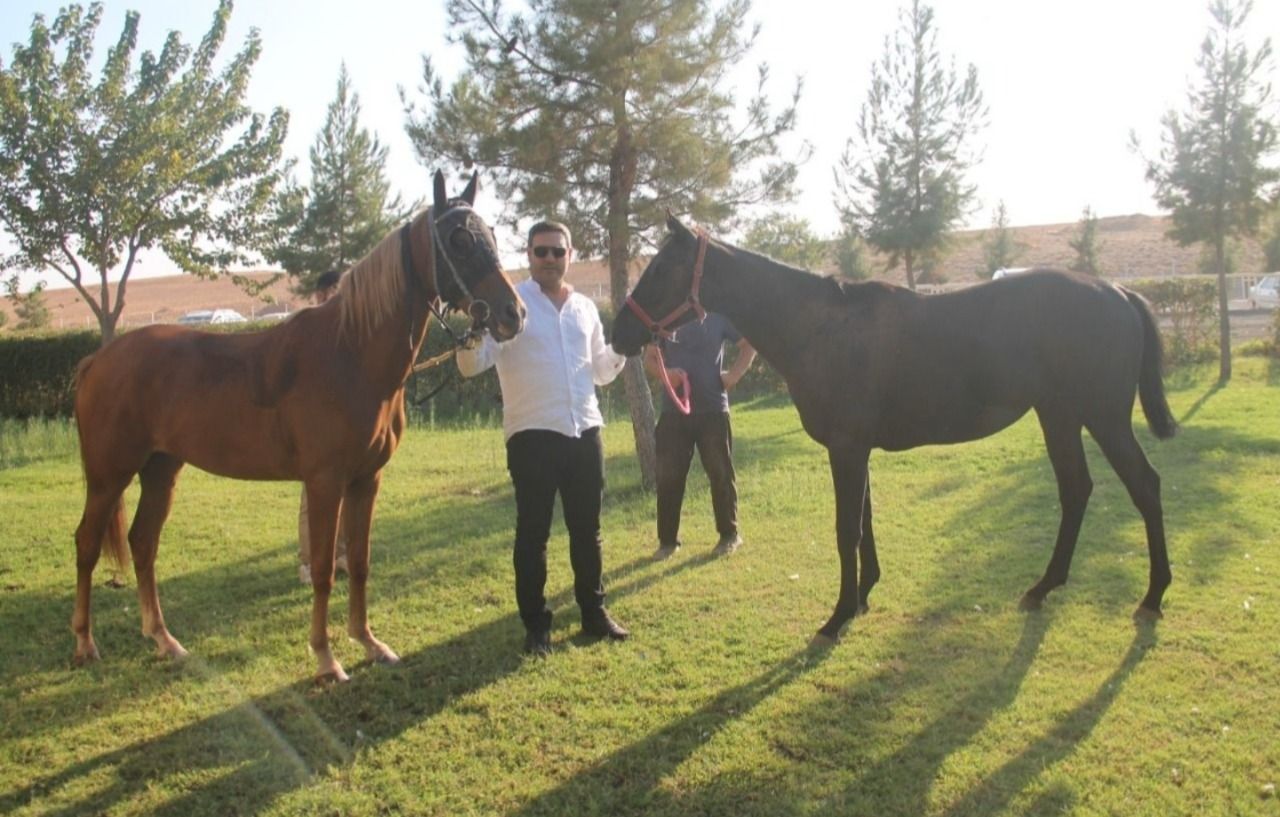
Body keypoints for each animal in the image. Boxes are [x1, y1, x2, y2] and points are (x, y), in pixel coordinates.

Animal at [72, 169, 524, 681]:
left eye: (491, 235)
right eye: (459, 240)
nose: (512, 313)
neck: (350, 354)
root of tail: (98, 360)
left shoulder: (366, 480)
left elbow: (360, 562)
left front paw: (368, 642)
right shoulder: (325, 481)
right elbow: (325, 568)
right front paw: (326, 657)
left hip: (161, 470)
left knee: (143, 543)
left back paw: (165, 641)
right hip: (109, 475)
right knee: (87, 544)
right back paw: (85, 643)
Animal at [614, 216, 1172, 645]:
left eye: (661, 268)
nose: (620, 332)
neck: (821, 327)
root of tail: (1119, 292)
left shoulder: (846, 448)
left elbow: (847, 529)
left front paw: (837, 617)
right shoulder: (856, 449)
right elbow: (866, 522)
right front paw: (862, 597)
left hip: (1103, 417)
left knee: (1144, 486)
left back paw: (1153, 595)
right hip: (1059, 415)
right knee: (1076, 489)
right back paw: (1043, 587)